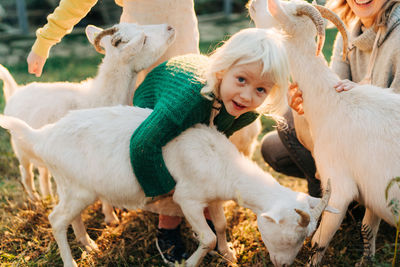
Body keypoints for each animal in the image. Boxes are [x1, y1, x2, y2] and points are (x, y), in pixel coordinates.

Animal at [0, 22, 175, 225]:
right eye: (144, 40)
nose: (169, 27)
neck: (101, 94)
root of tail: (15, 91)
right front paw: (111, 217)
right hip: (20, 149)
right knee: (26, 173)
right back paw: (35, 200)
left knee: (43, 173)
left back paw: (48, 197)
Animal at [0, 107, 332, 267]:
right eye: (289, 236)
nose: (283, 264)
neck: (220, 160)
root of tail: (42, 137)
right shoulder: (188, 199)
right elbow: (208, 237)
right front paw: (189, 263)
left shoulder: (212, 198)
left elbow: (221, 226)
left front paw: (229, 254)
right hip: (76, 188)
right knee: (56, 220)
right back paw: (71, 262)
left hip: (74, 185)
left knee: (73, 217)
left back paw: (89, 246)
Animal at [252, 0, 400, 264]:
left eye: (274, 9)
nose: (251, 3)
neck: (335, 104)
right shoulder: (374, 194)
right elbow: (367, 228)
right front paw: (365, 261)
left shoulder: (339, 189)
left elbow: (318, 242)